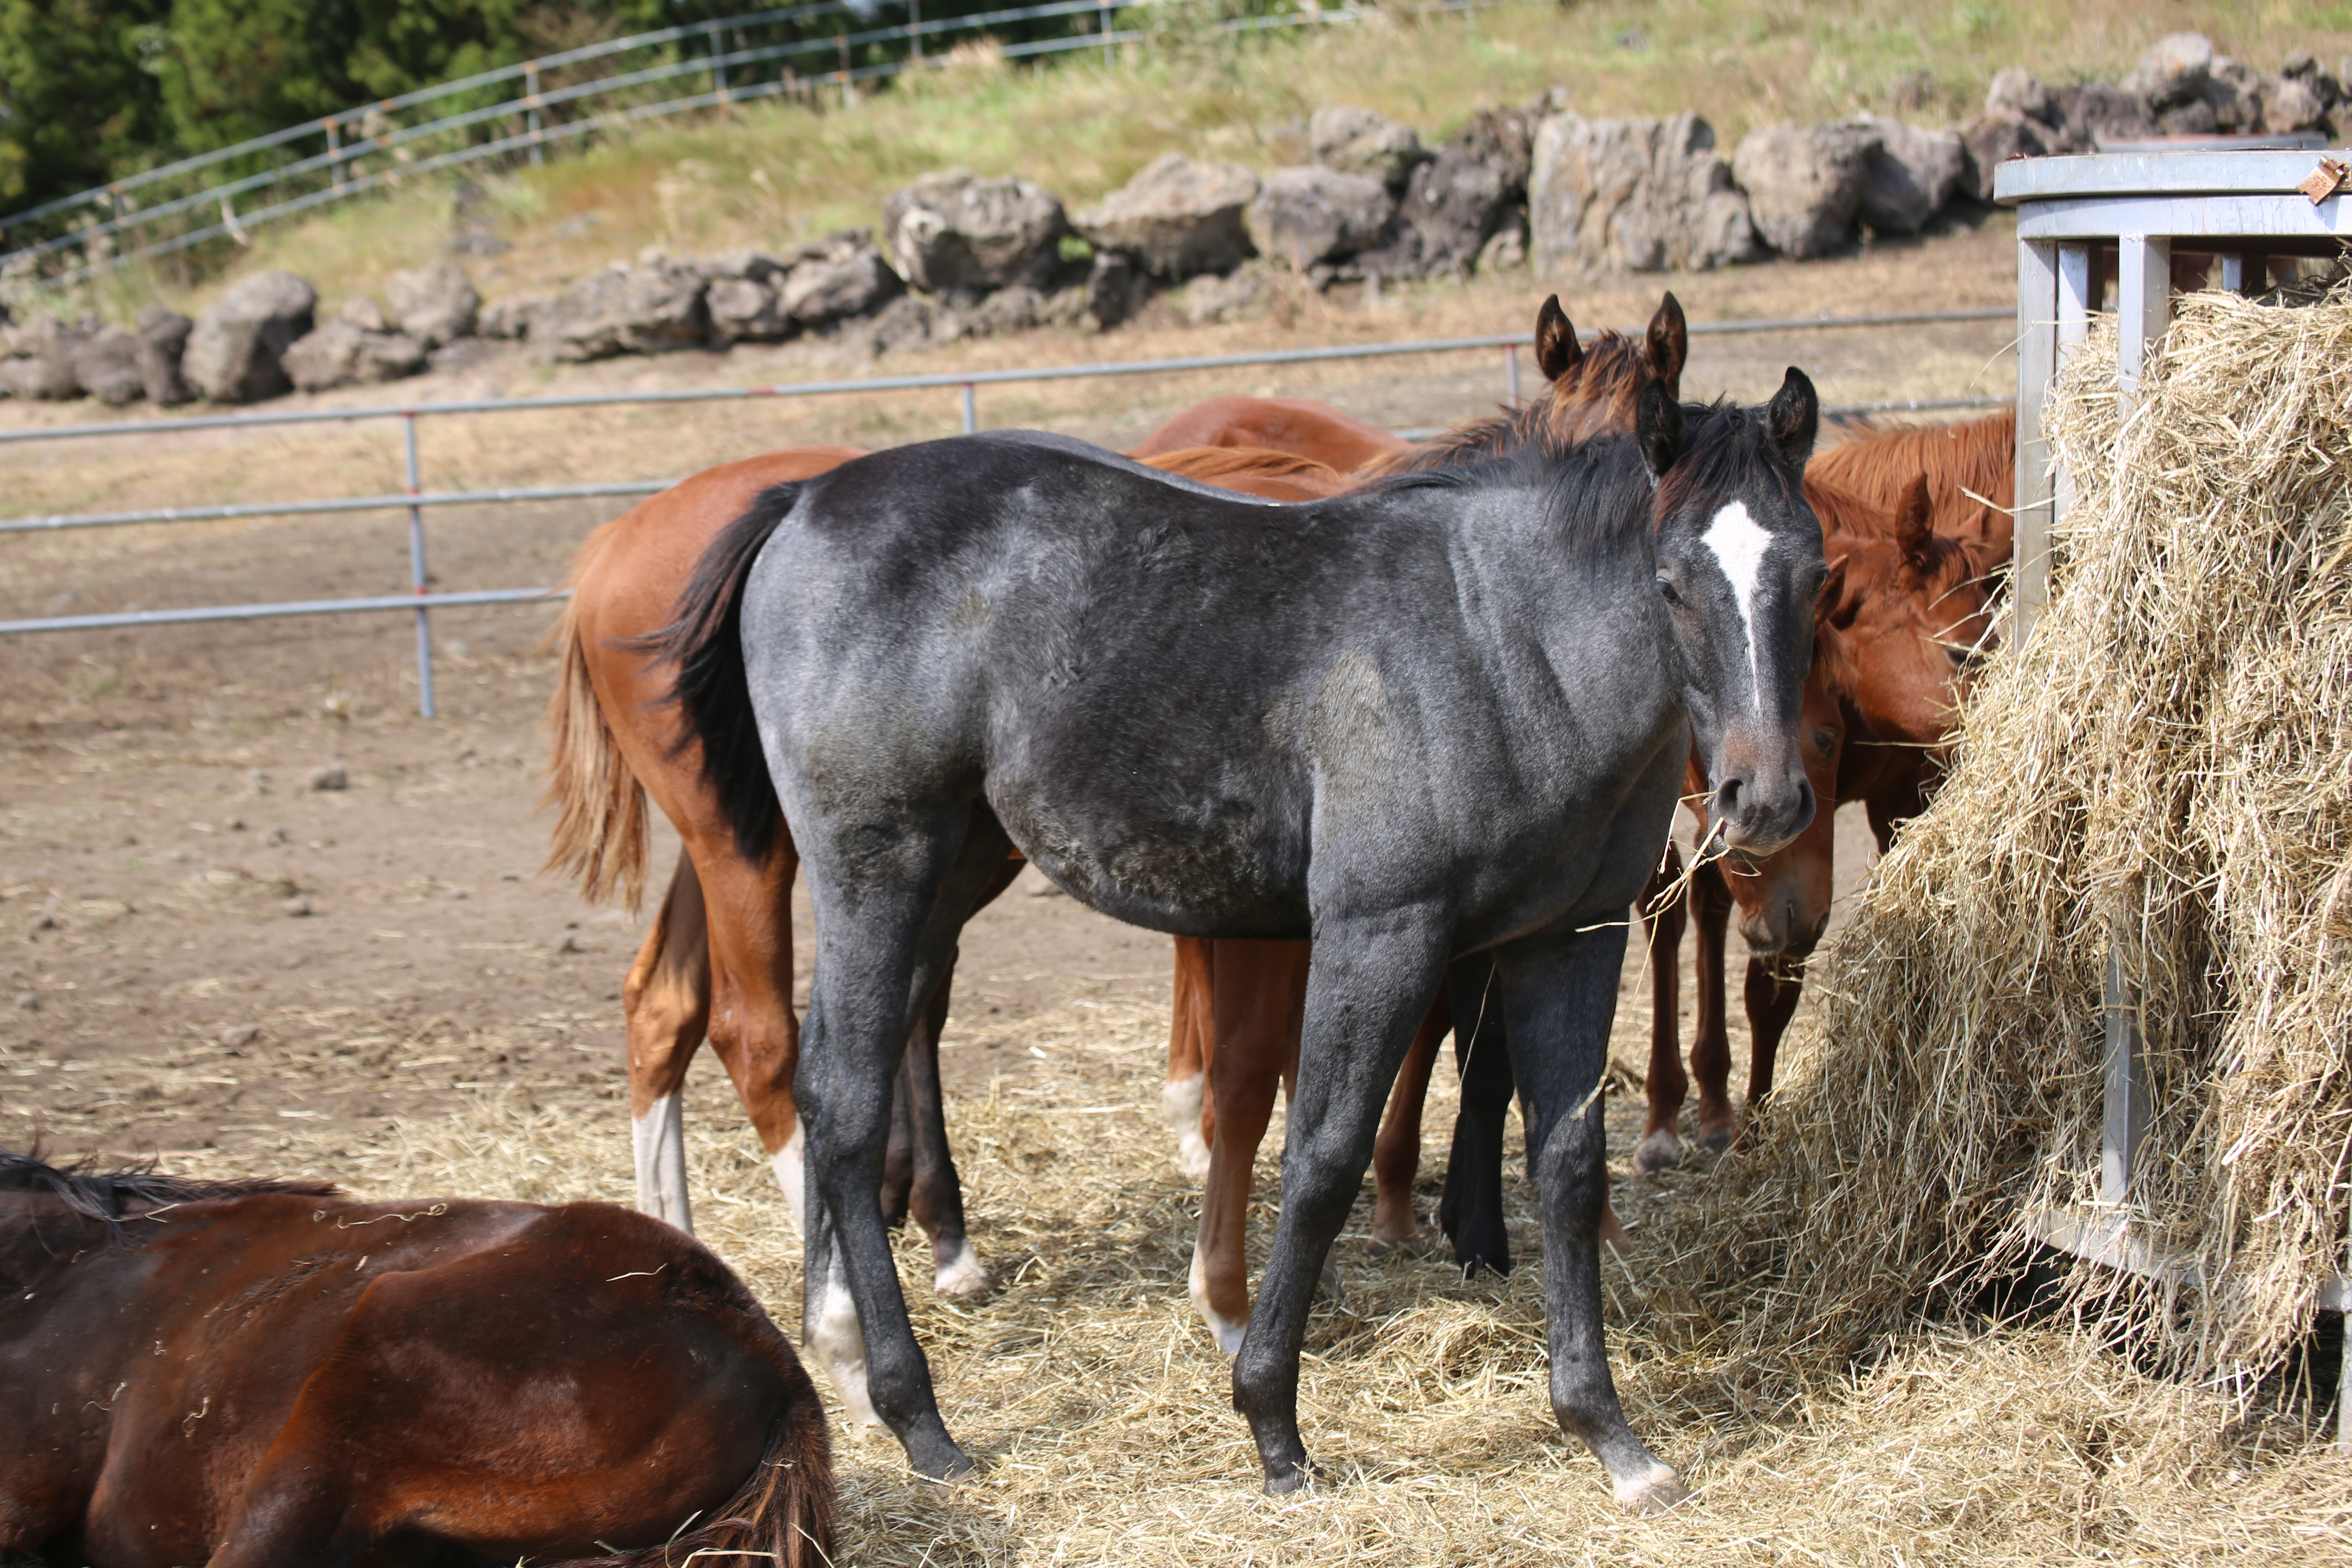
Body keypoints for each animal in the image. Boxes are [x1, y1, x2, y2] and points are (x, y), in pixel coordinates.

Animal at [654, 374, 1825, 1514]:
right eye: (1670, 581)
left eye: (1815, 574)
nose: (1764, 799)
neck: (1501, 643)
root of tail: (803, 500)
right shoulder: (1382, 931)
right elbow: (1322, 1159)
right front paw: (1273, 1428)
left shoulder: (1568, 941)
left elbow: (1570, 1169)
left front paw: (1611, 1439)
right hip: (877, 865)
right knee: (844, 1101)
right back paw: (920, 1420)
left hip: (946, 870)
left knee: (834, 1072)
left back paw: (844, 1358)